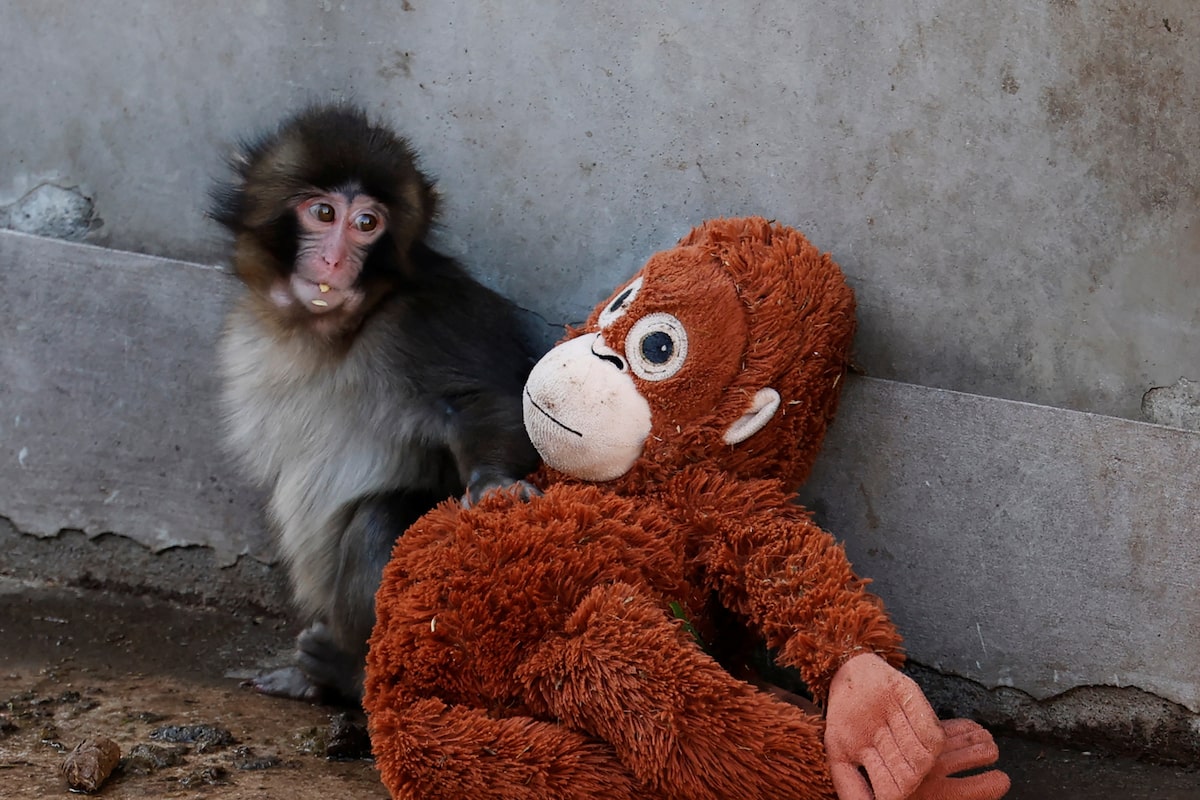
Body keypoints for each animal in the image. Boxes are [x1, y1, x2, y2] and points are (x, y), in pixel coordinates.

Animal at [211, 104, 542, 704]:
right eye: (323, 213)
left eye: (367, 224)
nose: (335, 259)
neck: (331, 331)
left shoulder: (427, 319)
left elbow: (482, 400)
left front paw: (494, 484)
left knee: (379, 521)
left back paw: (348, 675)